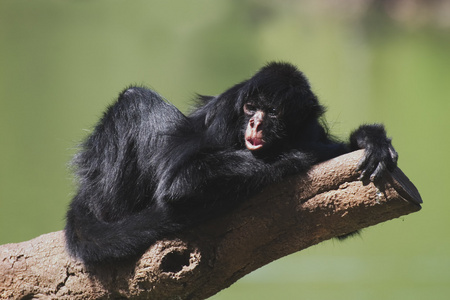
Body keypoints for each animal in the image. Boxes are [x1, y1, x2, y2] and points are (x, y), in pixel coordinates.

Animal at [64, 62, 398, 264]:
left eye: (272, 111)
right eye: (251, 107)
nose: (255, 124)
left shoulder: (309, 127)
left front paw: (369, 140)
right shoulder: (226, 114)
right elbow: (179, 182)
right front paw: (301, 156)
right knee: (135, 99)